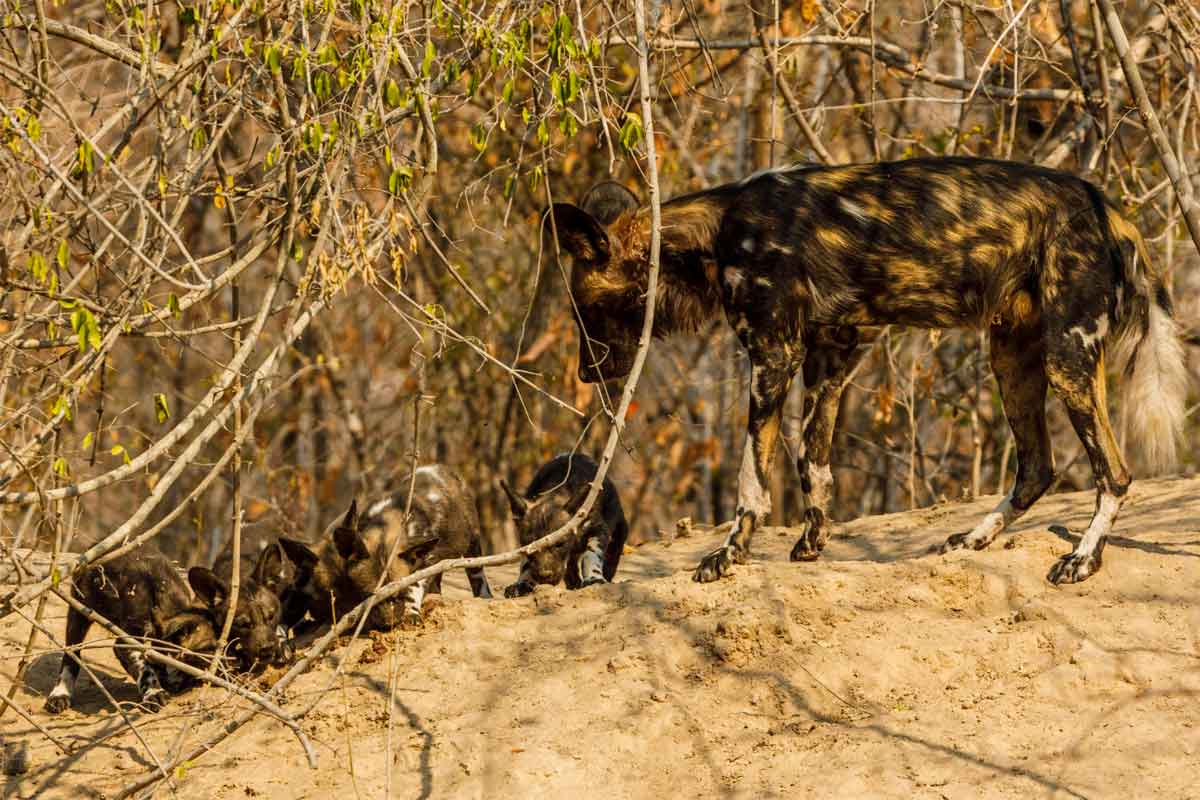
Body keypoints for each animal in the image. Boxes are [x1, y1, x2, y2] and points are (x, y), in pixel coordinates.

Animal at [44, 546, 219, 714]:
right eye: (208, 649)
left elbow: (155, 661)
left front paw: (161, 682)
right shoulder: (126, 641)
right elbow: (145, 668)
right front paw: (153, 692)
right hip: (80, 614)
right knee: (71, 656)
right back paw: (60, 693)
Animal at [277, 462, 492, 633]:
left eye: (396, 594)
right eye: (367, 596)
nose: (388, 624)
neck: (385, 525)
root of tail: (438, 468)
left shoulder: (422, 563)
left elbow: (413, 586)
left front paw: (411, 613)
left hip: (472, 543)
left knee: (477, 574)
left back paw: (485, 596)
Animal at [496, 453, 633, 597]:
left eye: (560, 545)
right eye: (530, 547)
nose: (545, 576)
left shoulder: (598, 530)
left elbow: (591, 554)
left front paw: (594, 578)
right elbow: (526, 565)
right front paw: (523, 583)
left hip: (619, 528)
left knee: (612, 554)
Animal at [549, 154, 1185, 587]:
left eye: (585, 311)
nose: (582, 376)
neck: (718, 234)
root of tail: (1108, 208)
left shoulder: (773, 356)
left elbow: (752, 478)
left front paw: (728, 554)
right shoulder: (832, 352)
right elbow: (813, 461)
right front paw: (812, 541)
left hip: (1066, 359)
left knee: (1114, 472)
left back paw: (1082, 558)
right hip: (1011, 359)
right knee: (1037, 467)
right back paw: (975, 539)